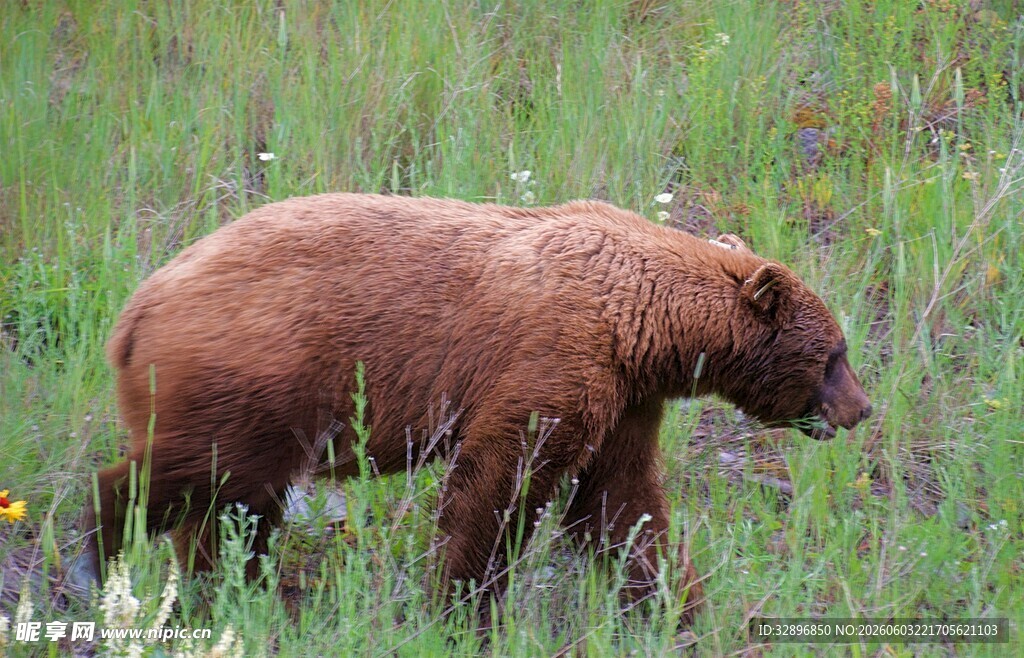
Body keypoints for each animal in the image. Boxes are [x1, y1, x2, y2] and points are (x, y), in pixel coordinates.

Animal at [83, 193, 871, 620]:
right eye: (834, 353)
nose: (862, 409)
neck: (642, 325)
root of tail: (133, 312)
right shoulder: (554, 357)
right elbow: (499, 486)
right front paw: (462, 605)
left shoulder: (626, 398)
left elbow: (622, 507)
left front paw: (673, 608)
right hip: (252, 380)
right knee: (191, 478)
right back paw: (101, 560)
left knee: (230, 508)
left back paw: (234, 588)